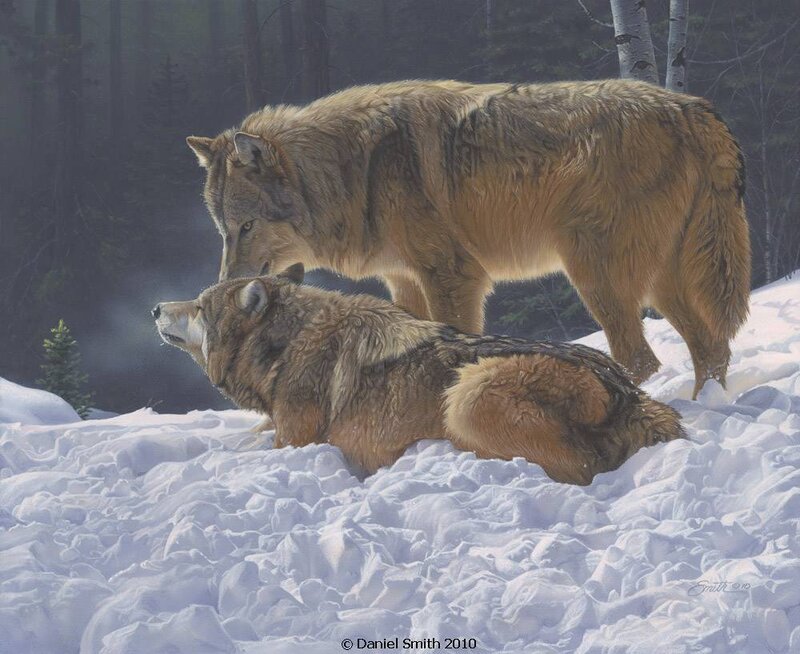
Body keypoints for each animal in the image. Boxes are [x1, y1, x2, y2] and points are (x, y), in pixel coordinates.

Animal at [153, 266, 685, 485]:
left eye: (198, 307)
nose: (156, 307)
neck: (286, 346)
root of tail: (627, 392)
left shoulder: (295, 442)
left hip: (468, 394)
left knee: (581, 471)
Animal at [186, 79, 750, 398]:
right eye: (222, 231)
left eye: (247, 226)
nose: (223, 286)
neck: (355, 172)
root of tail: (690, 106)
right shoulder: (404, 284)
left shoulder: (452, 275)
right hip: (662, 282)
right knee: (712, 348)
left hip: (596, 276)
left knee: (642, 360)